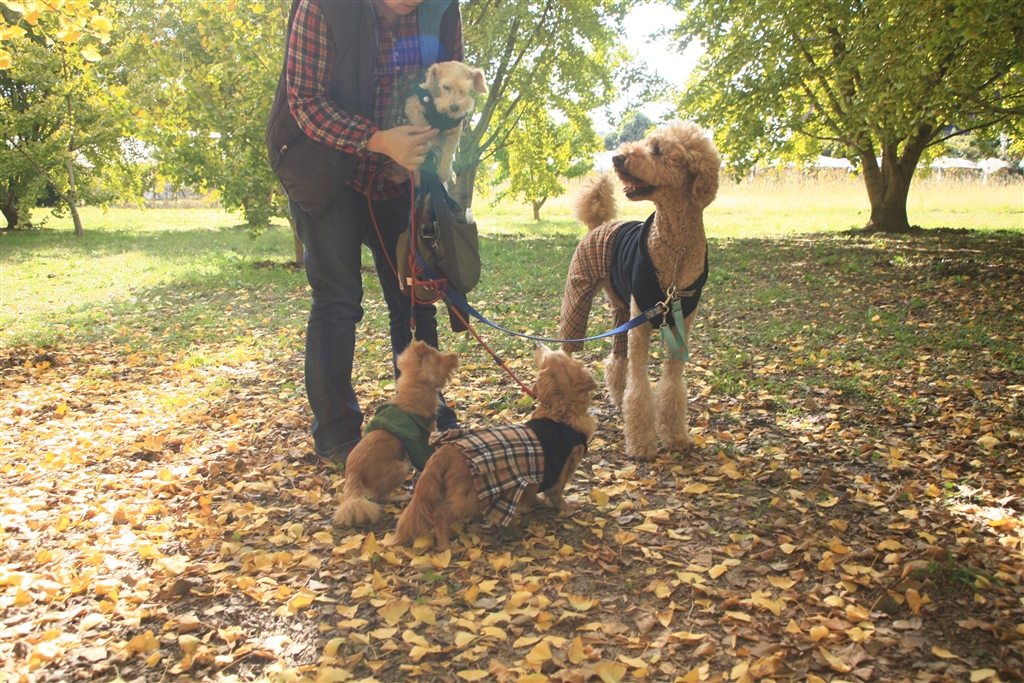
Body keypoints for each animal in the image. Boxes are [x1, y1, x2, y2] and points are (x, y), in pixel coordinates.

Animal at [390, 345, 598, 549]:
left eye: (558, 353)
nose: (536, 344)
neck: (562, 412)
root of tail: (447, 450)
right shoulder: (562, 470)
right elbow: (556, 493)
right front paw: (566, 507)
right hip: (469, 499)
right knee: (440, 515)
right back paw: (445, 545)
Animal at [401, 61, 486, 189]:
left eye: (464, 89)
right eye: (446, 87)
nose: (454, 108)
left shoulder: (454, 131)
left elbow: (448, 151)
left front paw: (444, 171)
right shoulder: (413, 106)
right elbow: (422, 125)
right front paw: (427, 143)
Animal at [559, 121, 720, 460]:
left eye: (657, 149)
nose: (617, 158)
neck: (676, 250)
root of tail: (596, 225)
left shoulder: (681, 324)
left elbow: (671, 385)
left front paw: (675, 437)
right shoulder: (642, 324)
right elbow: (640, 385)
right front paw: (643, 444)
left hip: (622, 310)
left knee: (616, 360)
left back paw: (617, 399)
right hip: (578, 296)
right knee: (566, 347)